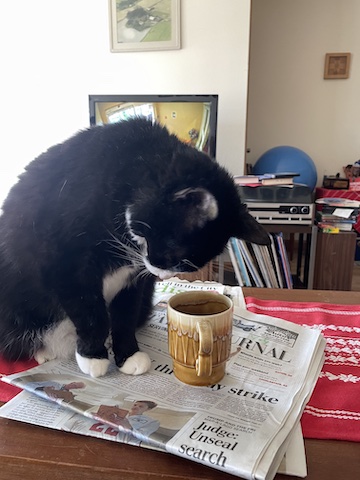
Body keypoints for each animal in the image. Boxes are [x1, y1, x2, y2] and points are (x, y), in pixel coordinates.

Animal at [0, 117, 270, 378]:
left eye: (190, 265)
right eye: (173, 253)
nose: (161, 275)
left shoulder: (133, 277)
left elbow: (125, 313)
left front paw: (128, 355)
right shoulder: (66, 261)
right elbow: (91, 311)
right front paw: (93, 356)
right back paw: (44, 351)